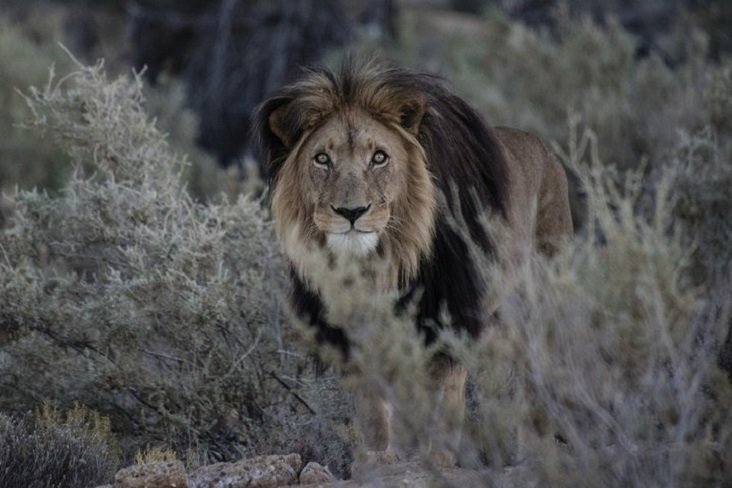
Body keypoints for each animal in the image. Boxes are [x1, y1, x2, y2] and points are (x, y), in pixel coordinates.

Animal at [254, 59, 576, 468]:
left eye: (379, 157)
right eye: (322, 159)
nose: (351, 212)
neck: (380, 263)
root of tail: (546, 150)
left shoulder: (442, 319)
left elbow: (430, 400)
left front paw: (424, 456)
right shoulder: (357, 331)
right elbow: (374, 405)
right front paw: (379, 458)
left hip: (537, 302)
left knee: (533, 376)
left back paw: (528, 452)